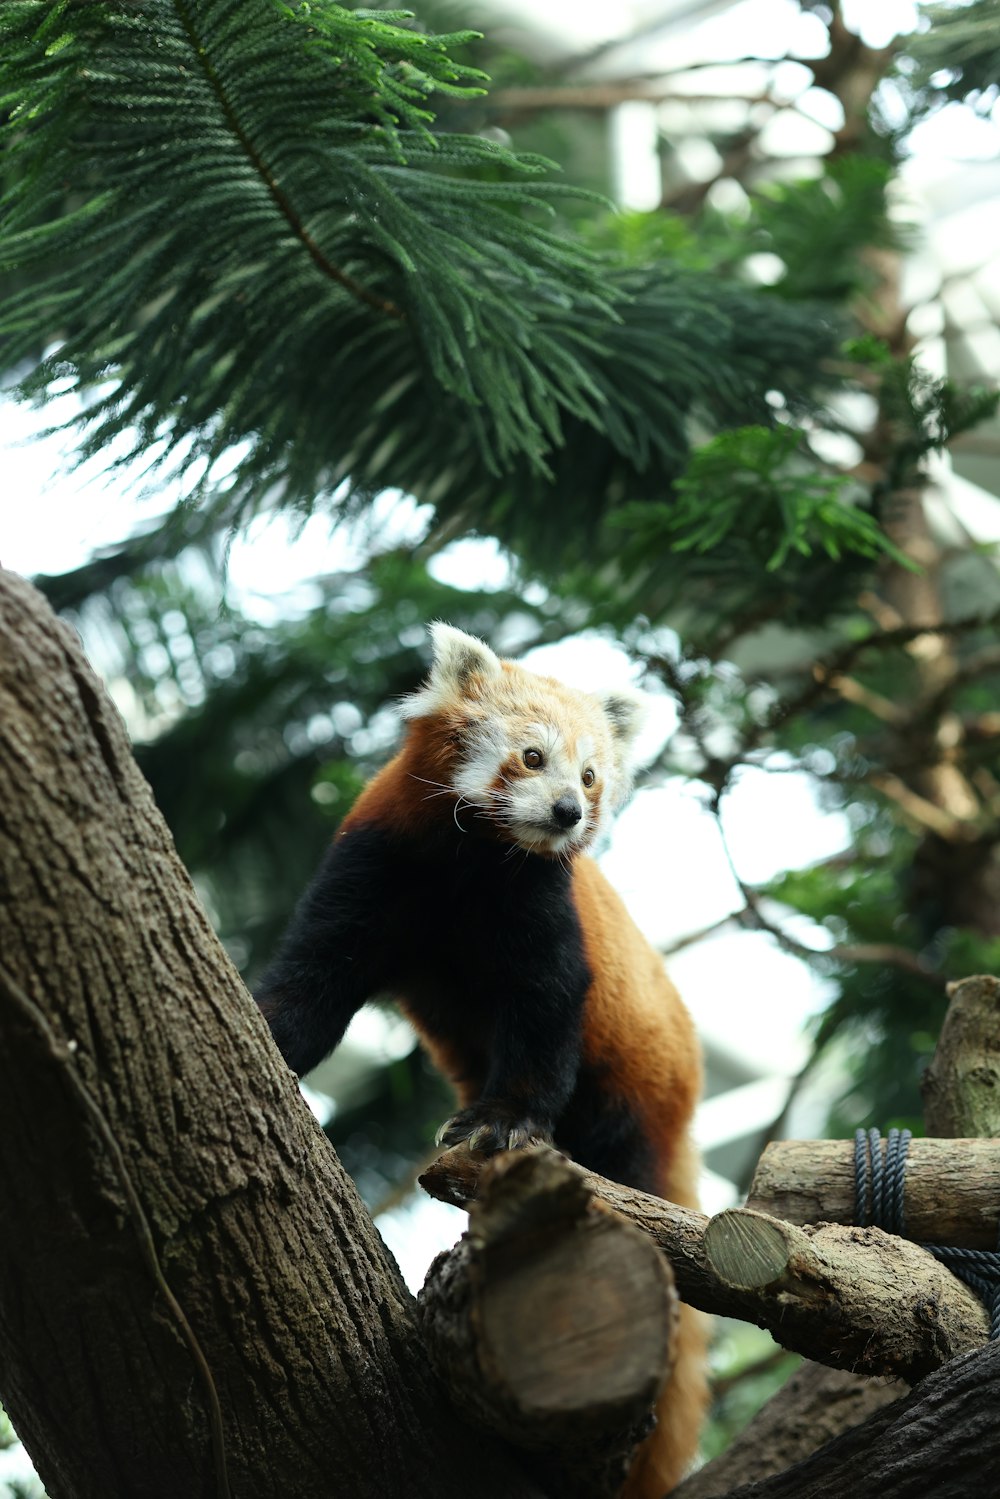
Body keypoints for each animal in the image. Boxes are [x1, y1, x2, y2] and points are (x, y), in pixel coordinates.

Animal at [257, 626, 710, 1493]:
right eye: (532, 757)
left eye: (591, 775)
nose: (568, 811)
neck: (473, 863)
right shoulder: (378, 861)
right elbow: (315, 974)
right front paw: (270, 1029)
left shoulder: (543, 905)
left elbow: (545, 1013)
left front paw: (502, 1123)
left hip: (635, 1089)